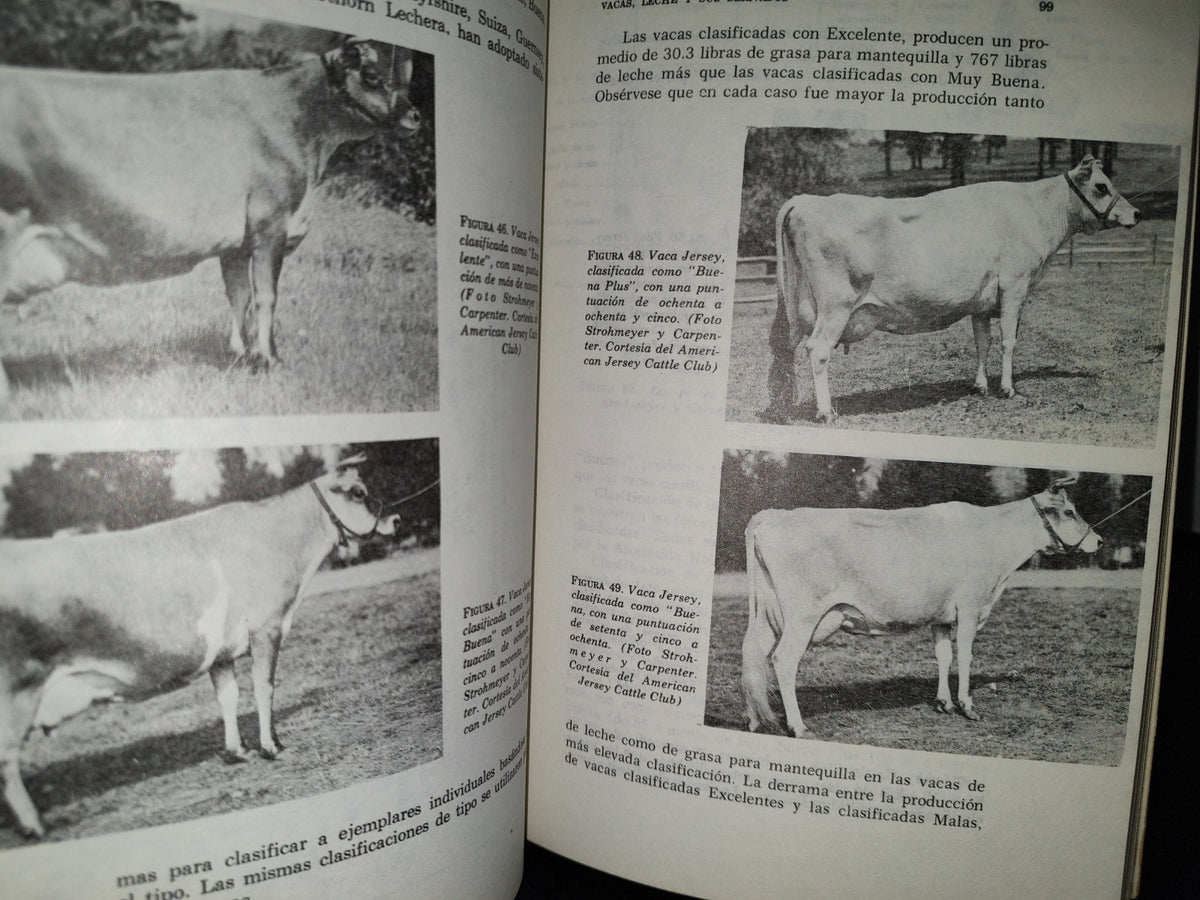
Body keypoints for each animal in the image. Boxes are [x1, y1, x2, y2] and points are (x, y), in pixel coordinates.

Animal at [0, 36, 421, 398]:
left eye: (397, 73)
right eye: (371, 75)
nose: (416, 114)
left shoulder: (237, 240)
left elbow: (239, 295)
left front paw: (240, 353)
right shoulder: (271, 221)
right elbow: (266, 295)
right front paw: (270, 359)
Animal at [0, 454, 399, 838]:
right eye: (358, 492)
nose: (394, 518)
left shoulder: (221, 652)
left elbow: (229, 697)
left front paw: (237, 751)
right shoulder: (267, 626)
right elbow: (264, 687)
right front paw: (272, 747)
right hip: (18, 690)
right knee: (7, 759)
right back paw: (34, 825)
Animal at [740, 476, 1101, 737]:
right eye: (1069, 512)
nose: (1098, 541)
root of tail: (772, 515)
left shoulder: (940, 615)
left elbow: (943, 656)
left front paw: (944, 703)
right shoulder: (970, 606)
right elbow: (965, 655)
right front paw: (967, 705)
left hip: (765, 614)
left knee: (752, 653)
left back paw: (757, 720)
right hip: (802, 615)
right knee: (783, 660)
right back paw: (798, 726)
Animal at [766, 157, 1141, 423]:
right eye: (1102, 186)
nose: (1136, 213)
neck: (1035, 211)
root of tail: (804, 200)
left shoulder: (981, 301)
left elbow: (981, 342)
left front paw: (980, 386)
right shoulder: (1015, 285)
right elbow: (1008, 341)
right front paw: (1007, 388)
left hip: (794, 304)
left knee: (783, 348)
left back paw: (782, 408)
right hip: (835, 304)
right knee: (817, 349)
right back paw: (825, 411)